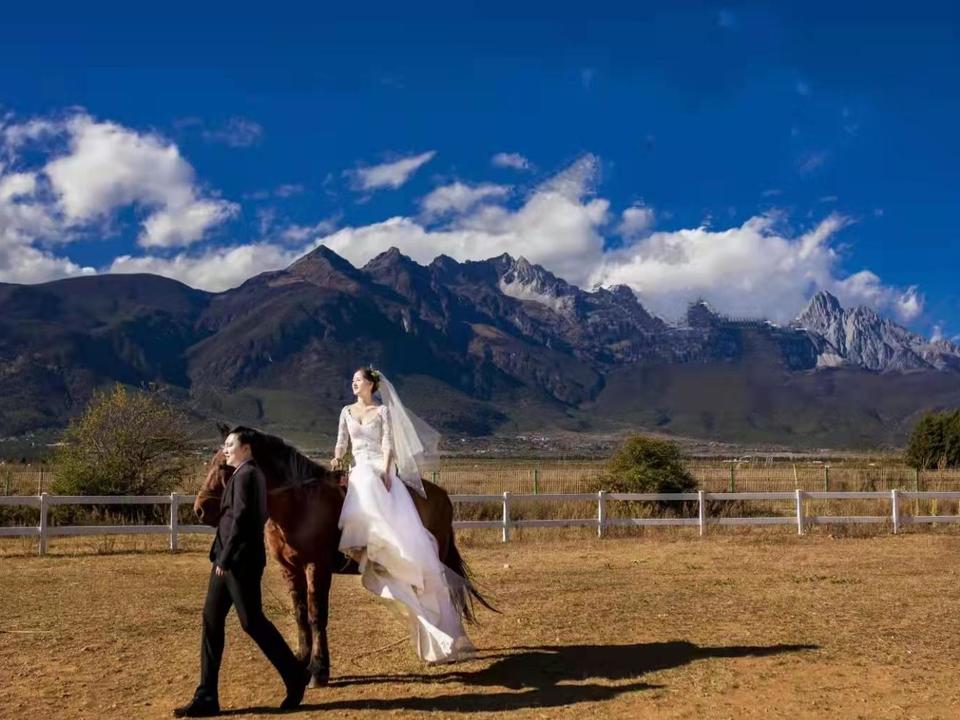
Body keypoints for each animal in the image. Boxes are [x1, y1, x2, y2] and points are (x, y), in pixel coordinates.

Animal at [195, 422, 496, 688]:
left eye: (224, 465)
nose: (200, 510)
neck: (298, 503)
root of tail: (442, 494)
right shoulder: (289, 568)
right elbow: (300, 614)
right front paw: (301, 662)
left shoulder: (316, 567)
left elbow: (317, 615)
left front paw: (319, 671)